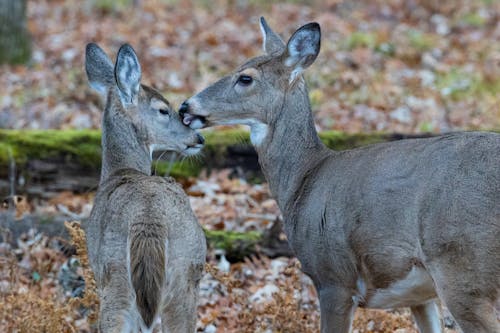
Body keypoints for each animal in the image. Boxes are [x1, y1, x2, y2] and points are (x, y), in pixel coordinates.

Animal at [85, 43, 206, 332]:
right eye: (163, 109)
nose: (198, 137)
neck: (121, 171)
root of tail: (148, 218)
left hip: (117, 274)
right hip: (183, 271)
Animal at [178, 18, 498, 332]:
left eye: (245, 78)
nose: (185, 106)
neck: (303, 180)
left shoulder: (333, 277)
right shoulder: (419, 296)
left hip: (460, 266)